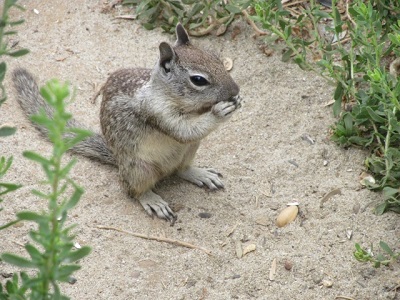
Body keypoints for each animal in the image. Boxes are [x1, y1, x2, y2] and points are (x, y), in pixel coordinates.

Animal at [12, 23, 242, 221]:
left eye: (216, 58)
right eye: (198, 80)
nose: (236, 89)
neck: (166, 93)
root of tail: (117, 159)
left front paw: (236, 101)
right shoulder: (157, 112)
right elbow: (183, 130)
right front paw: (220, 111)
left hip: (190, 151)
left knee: (181, 169)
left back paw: (200, 174)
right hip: (139, 169)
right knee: (132, 190)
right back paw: (152, 200)